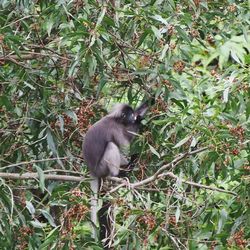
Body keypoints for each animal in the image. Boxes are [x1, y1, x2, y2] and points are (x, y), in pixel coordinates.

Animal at [82, 101, 150, 248]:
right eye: (130, 114)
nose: (133, 117)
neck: (115, 119)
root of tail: (92, 170)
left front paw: (149, 102)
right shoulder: (116, 129)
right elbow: (125, 149)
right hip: (102, 167)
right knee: (111, 146)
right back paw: (120, 172)